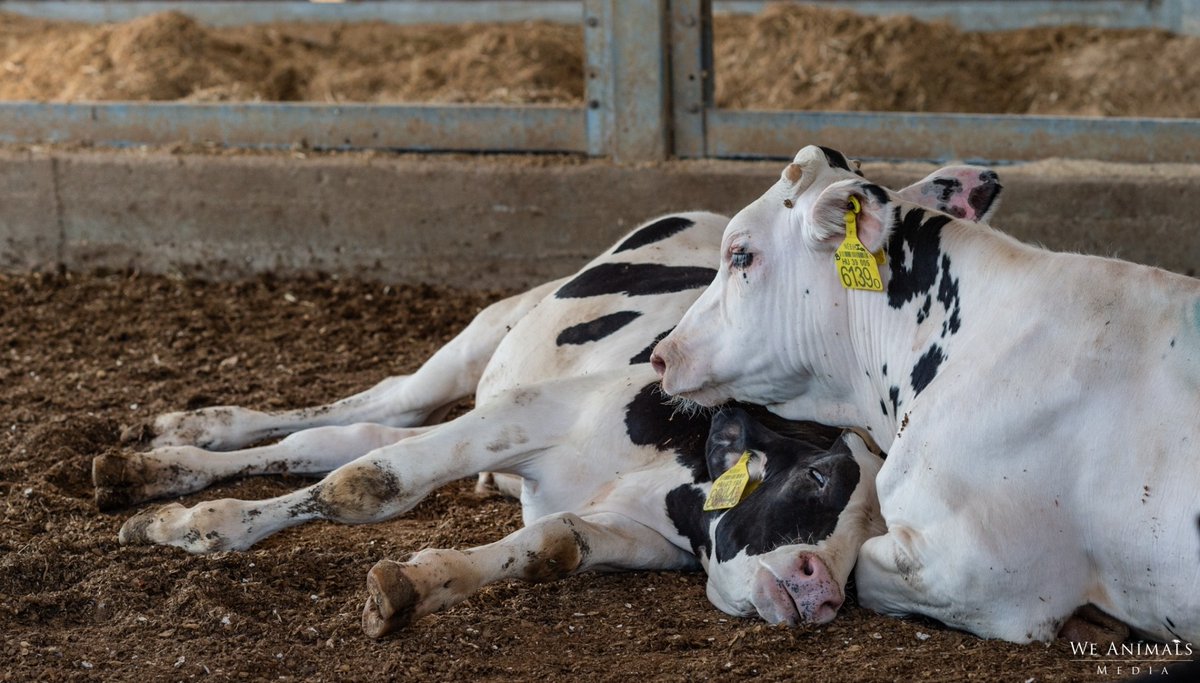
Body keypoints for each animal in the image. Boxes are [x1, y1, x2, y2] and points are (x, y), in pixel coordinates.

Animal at [93, 145, 999, 637]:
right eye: (818, 476)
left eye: (874, 530)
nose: (820, 588)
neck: (668, 468)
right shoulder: (530, 411)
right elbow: (366, 487)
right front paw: (195, 528)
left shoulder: (627, 531)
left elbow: (543, 546)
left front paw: (416, 585)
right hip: (480, 340)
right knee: (370, 414)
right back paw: (183, 444)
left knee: (347, 437)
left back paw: (163, 461)